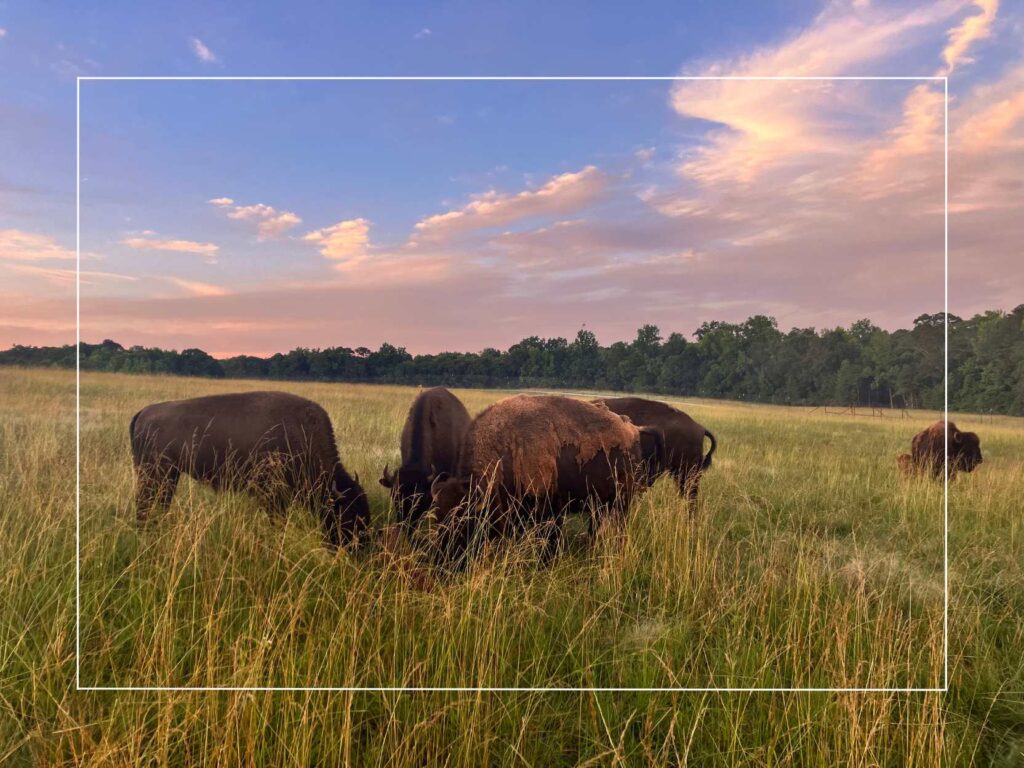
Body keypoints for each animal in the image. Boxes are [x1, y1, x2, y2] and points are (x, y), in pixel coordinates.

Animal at [130, 391, 370, 547]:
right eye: (348, 514)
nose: (360, 546)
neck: (301, 435)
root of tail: (143, 412)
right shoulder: (272, 495)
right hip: (156, 474)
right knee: (145, 503)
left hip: (168, 476)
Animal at [429, 394, 664, 565]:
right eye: (437, 518)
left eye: (462, 520)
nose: (442, 559)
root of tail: (633, 430)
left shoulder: (547, 512)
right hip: (599, 504)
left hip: (621, 501)